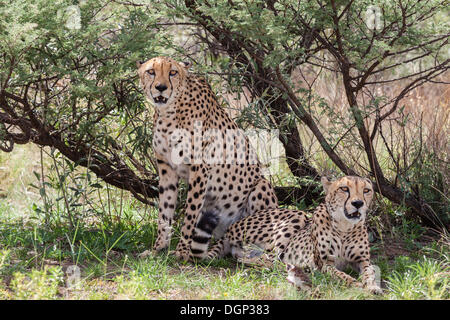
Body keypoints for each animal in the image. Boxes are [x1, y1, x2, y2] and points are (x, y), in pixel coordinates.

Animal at [204, 176, 384, 294]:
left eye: (366, 190)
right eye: (344, 189)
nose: (358, 203)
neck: (345, 227)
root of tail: (231, 227)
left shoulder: (362, 260)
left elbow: (370, 273)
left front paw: (373, 287)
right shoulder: (325, 263)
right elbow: (341, 274)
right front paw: (356, 284)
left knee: (247, 257)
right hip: (297, 217)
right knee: (266, 259)